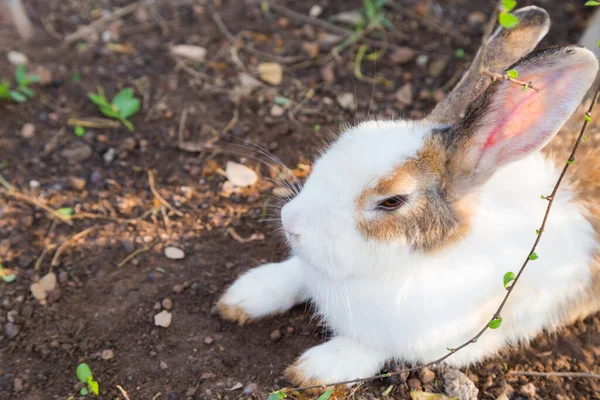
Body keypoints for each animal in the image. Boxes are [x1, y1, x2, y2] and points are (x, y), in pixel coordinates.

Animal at [216, 6, 600, 386]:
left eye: (392, 201)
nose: (290, 223)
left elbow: (371, 348)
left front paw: (316, 369)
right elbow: (293, 272)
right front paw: (244, 296)